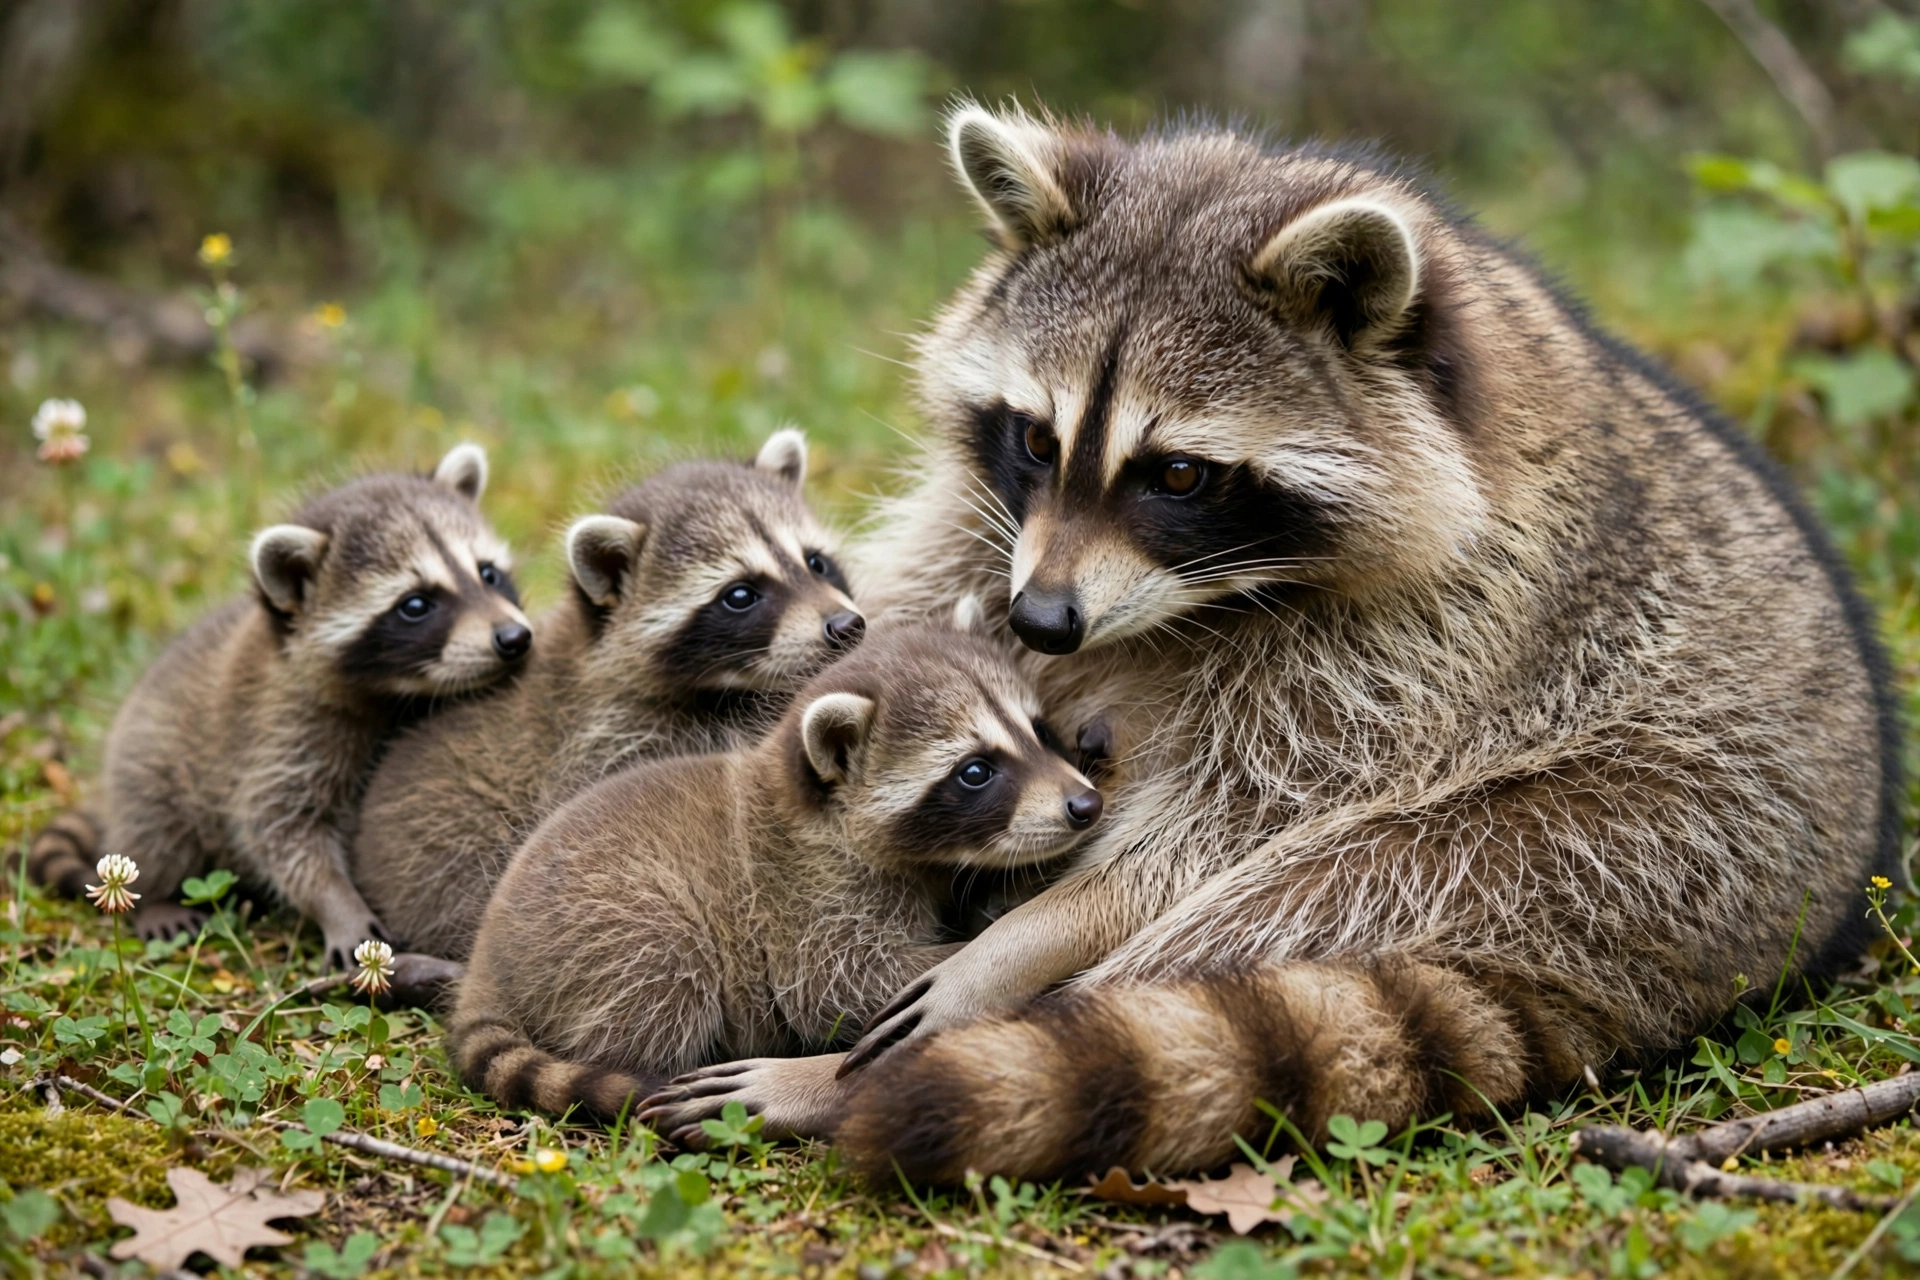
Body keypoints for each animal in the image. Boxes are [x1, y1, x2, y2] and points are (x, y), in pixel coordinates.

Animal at [28, 445, 531, 967]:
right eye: (415, 605)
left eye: (488, 573)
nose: (514, 638)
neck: (395, 694)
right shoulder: (279, 733)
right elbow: (280, 832)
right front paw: (336, 903)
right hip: (146, 765)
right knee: (155, 830)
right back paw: (157, 895)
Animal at [446, 610, 1104, 1124]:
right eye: (975, 771)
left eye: (1039, 731)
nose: (1085, 805)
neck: (810, 803)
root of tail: (488, 952)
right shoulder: (808, 896)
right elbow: (837, 982)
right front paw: (974, 955)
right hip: (610, 924)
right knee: (665, 973)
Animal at [638, 106, 1903, 1182]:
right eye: (1036, 440)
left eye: (1178, 474)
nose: (1044, 622)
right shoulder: (992, 525)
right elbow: (912, 613)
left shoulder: (1436, 631)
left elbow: (1224, 831)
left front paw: (1029, 938)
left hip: (1626, 836)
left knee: (1314, 893)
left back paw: (847, 1074)